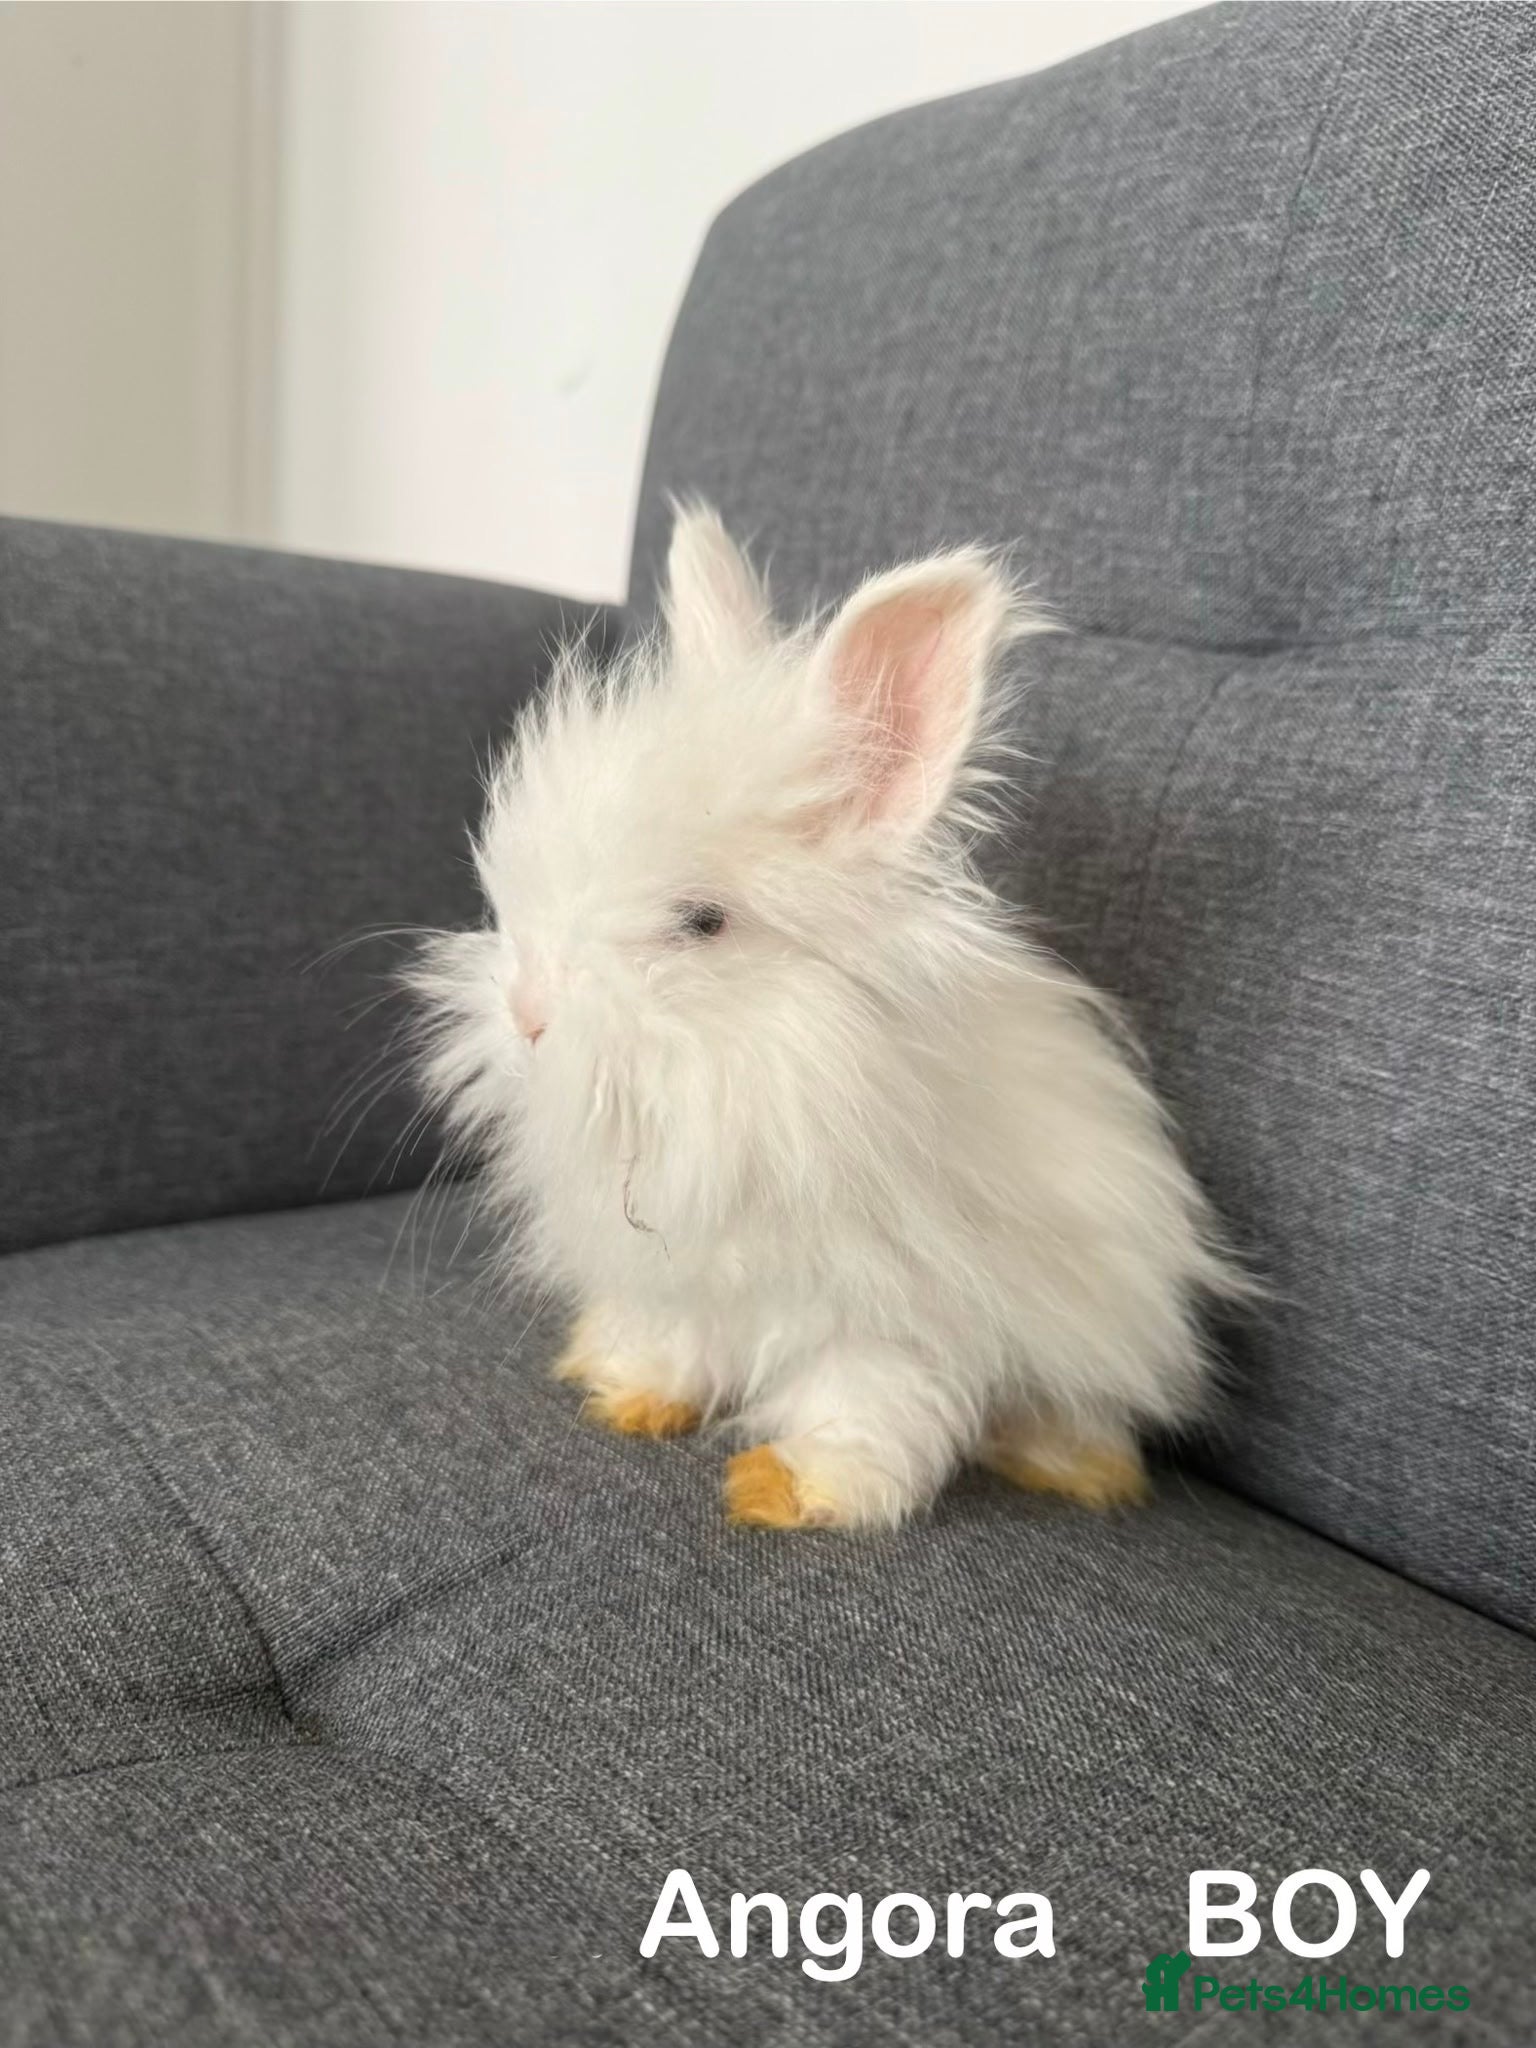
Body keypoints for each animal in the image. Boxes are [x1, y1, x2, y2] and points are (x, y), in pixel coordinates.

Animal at [411, 504, 1247, 1531]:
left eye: (702, 922)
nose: (528, 1014)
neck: (750, 1090)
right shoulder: (682, 1279)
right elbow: (671, 1342)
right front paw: (629, 1398)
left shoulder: (890, 1321)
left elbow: (868, 1408)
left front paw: (790, 1491)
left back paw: (1075, 1468)